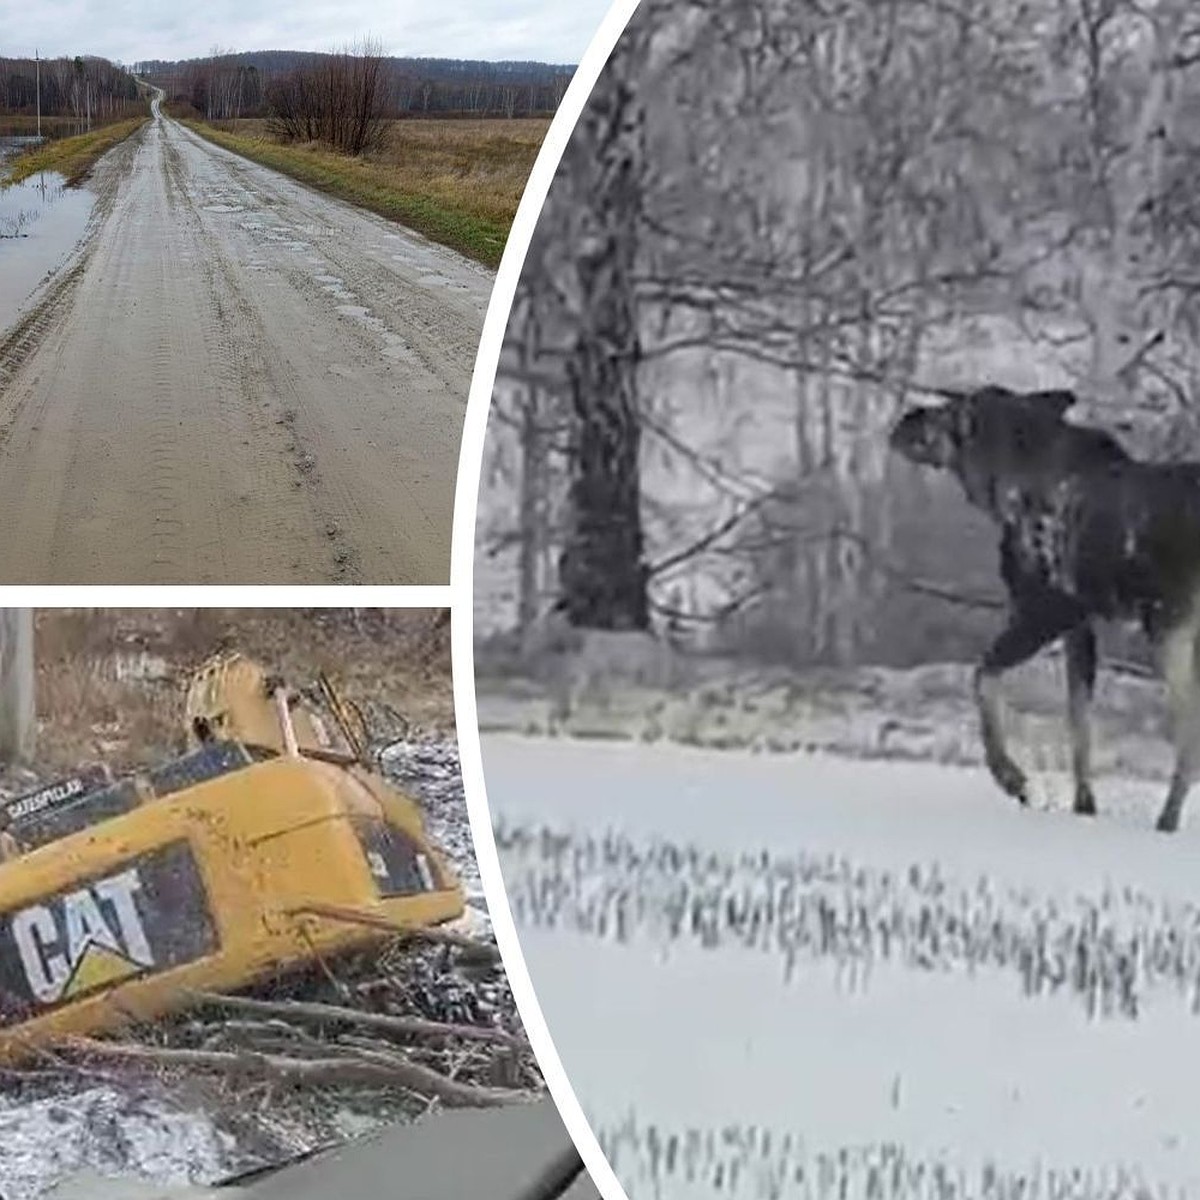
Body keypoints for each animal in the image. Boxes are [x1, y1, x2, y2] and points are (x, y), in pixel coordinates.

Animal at [892, 386, 1200, 835]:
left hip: (1169, 626)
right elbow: (1079, 720)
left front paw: (1011, 777)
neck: (1002, 489)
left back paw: (1168, 818)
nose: (904, 421)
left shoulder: (1046, 609)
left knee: (1190, 728)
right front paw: (1084, 804)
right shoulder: (1080, 625)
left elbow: (983, 676)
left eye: (951, 410)